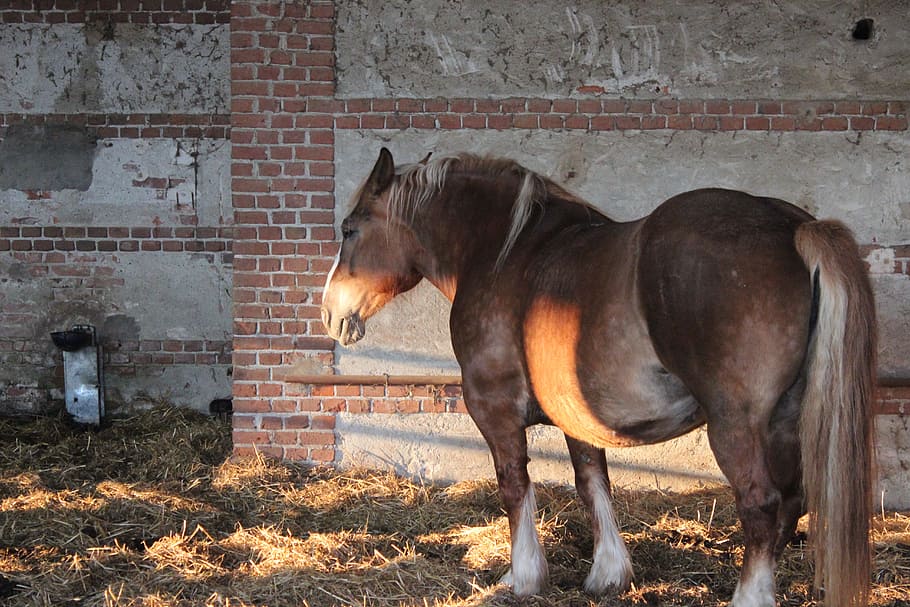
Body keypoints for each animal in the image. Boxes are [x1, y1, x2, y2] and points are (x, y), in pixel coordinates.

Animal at [320, 148, 876, 607]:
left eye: (349, 229)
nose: (330, 314)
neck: (503, 253)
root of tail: (792, 227)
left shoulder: (495, 412)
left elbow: (514, 487)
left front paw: (522, 578)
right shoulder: (577, 417)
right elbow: (593, 485)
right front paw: (609, 574)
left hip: (737, 425)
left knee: (762, 506)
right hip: (784, 421)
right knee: (792, 506)